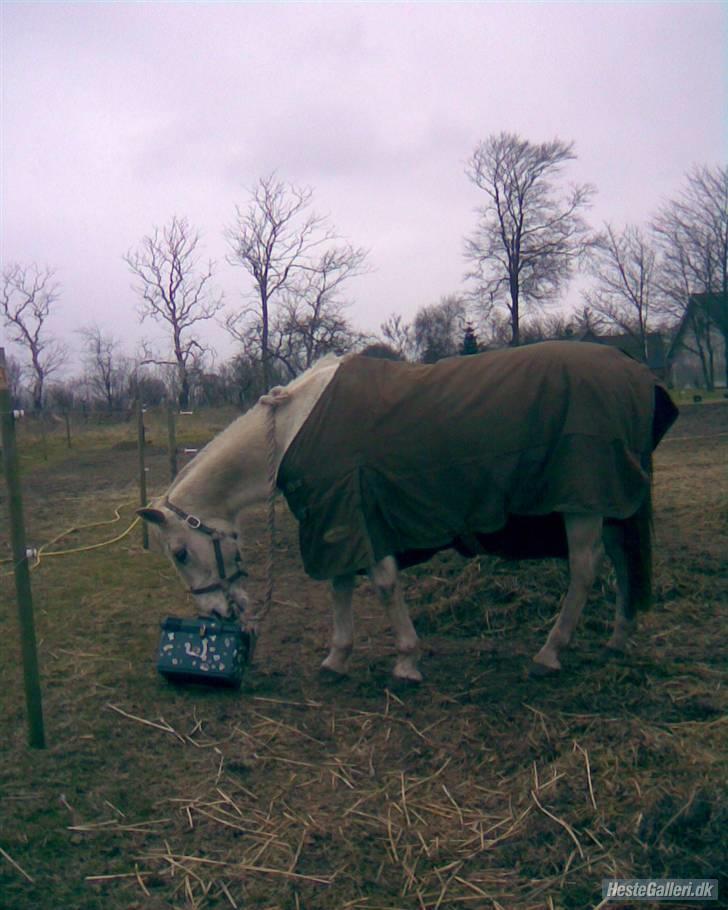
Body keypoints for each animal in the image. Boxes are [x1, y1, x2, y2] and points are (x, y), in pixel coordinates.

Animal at [139, 342, 680, 684]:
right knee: (624, 561)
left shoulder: (352, 512)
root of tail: (636, 373)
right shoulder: (338, 519)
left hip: (581, 503)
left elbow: (381, 584)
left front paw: (406, 661)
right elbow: (341, 585)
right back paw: (618, 638)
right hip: (608, 506)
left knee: (586, 570)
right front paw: (337, 658)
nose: (214, 613)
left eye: (180, 553)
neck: (294, 426)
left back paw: (550, 654)